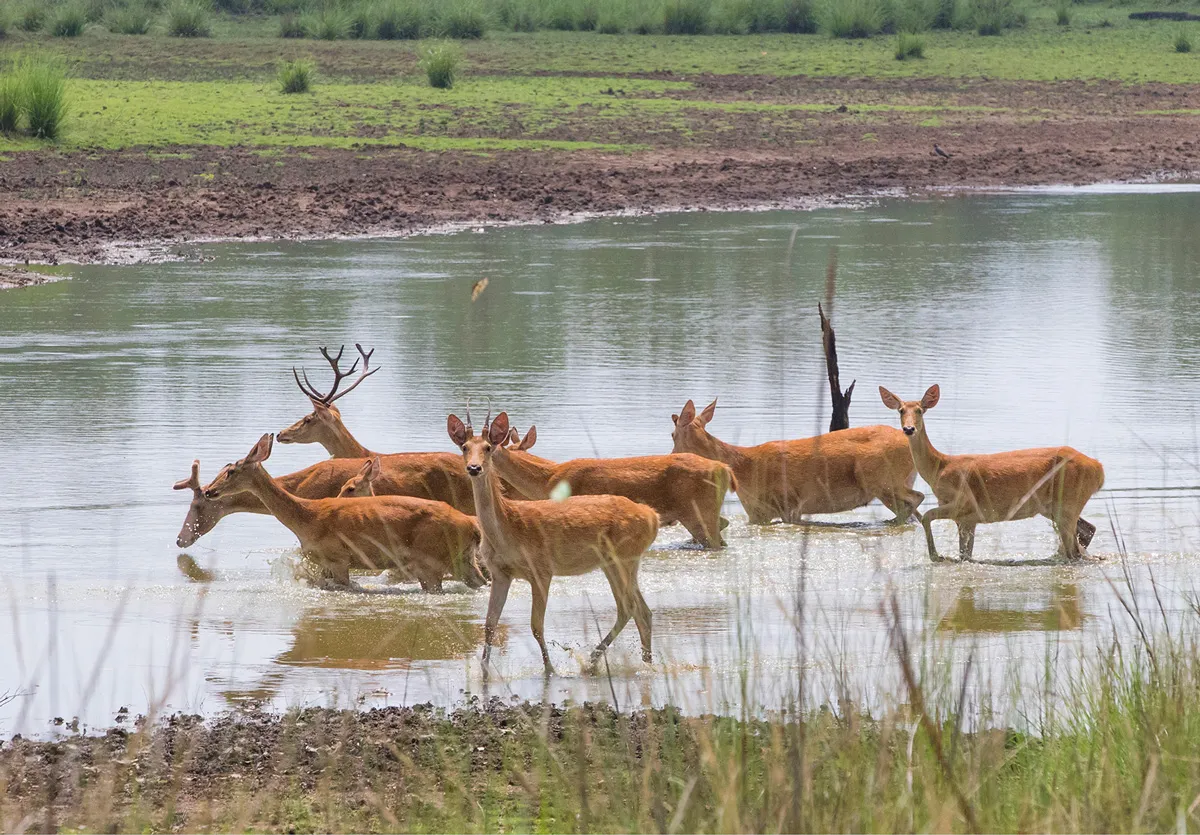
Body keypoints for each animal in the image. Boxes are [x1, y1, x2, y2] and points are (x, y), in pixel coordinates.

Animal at [196, 434, 487, 590]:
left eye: (230, 471)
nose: (210, 491)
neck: (305, 518)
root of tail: (473, 525)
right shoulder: (323, 562)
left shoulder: (336, 557)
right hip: (462, 558)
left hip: (432, 559)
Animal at [448, 407, 662, 676]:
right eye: (464, 447)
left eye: (488, 447)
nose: (474, 468)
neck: (508, 530)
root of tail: (653, 516)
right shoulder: (500, 573)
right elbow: (489, 624)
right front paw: (485, 670)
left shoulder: (541, 569)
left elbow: (536, 625)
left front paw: (550, 669)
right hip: (615, 563)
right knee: (639, 610)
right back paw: (642, 663)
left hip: (624, 557)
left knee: (631, 607)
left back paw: (592, 661)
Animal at [667, 395, 916, 523]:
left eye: (671, 434)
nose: (669, 457)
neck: (745, 468)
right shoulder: (756, 512)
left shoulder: (788, 502)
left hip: (882, 480)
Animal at [883, 383, 1104, 561]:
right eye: (901, 410)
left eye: (920, 410)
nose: (909, 429)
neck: (939, 468)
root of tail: (1098, 469)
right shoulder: (966, 519)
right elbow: (965, 554)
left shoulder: (964, 502)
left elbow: (927, 516)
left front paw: (936, 555)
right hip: (1055, 507)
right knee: (1087, 530)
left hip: (1068, 502)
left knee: (1074, 550)